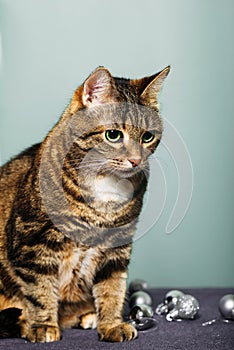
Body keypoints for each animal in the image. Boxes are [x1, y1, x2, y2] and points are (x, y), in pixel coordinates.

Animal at [0, 65, 169, 342]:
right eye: (113, 135)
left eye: (147, 137)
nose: (136, 160)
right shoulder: (32, 242)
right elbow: (40, 291)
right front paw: (43, 326)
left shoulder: (117, 247)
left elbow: (113, 288)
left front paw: (111, 325)